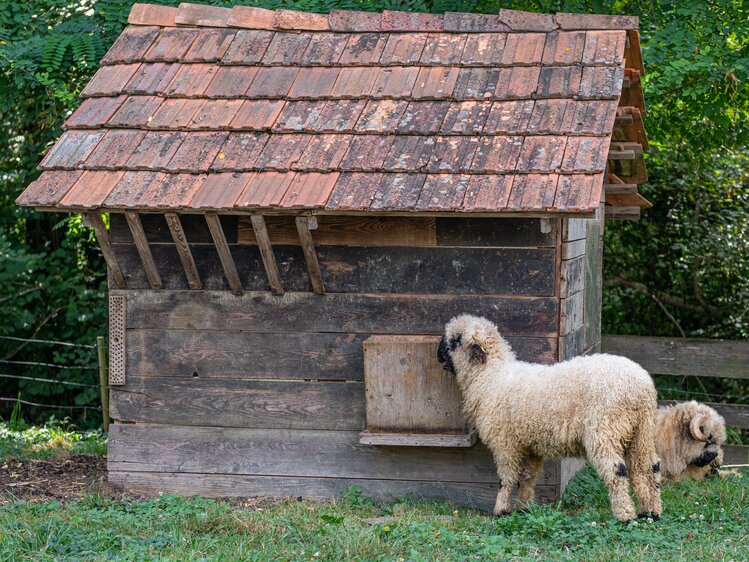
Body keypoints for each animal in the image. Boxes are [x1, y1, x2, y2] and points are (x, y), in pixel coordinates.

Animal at [438, 316, 660, 520]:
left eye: (456, 339)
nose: (438, 355)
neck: (490, 376)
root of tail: (640, 386)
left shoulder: (506, 442)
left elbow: (507, 478)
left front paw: (501, 510)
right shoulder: (530, 444)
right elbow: (528, 477)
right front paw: (523, 508)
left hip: (606, 429)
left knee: (616, 470)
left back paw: (625, 515)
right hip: (642, 431)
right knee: (649, 468)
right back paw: (651, 512)